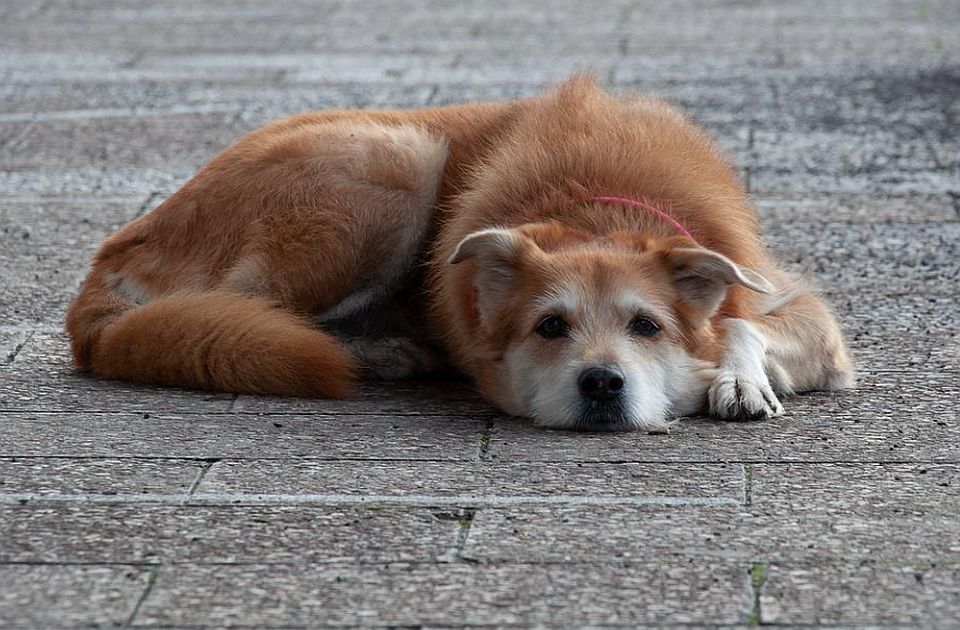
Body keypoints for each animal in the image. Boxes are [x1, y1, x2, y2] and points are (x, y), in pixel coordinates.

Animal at [63, 76, 852, 432]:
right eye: (550, 327)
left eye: (646, 327)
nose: (601, 383)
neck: (597, 204)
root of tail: (116, 249)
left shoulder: (800, 308)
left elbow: (742, 319)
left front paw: (739, 377)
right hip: (396, 160)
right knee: (243, 309)